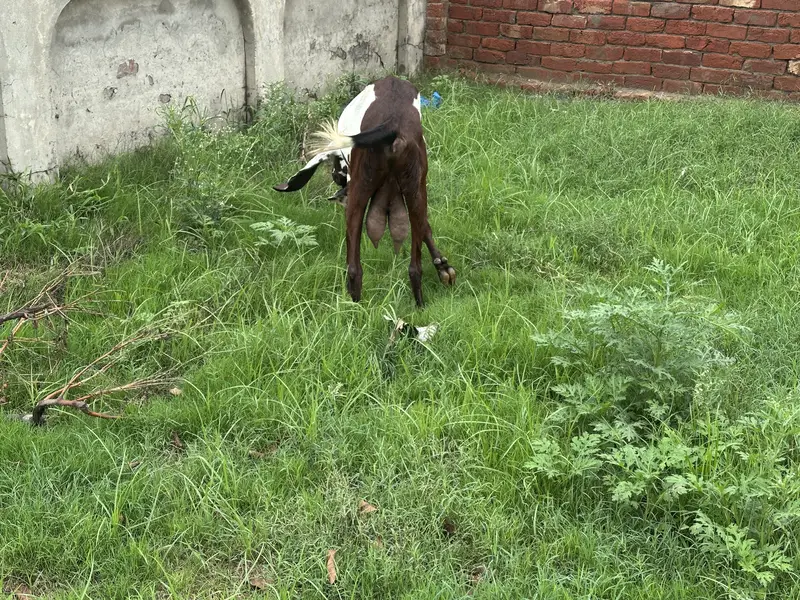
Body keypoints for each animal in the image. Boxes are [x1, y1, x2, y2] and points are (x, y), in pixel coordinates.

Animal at [273, 76, 456, 307]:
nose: (336, 178)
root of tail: (392, 125)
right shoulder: (418, 193)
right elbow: (426, 228)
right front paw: (442, 265)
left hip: (360, 196)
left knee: (354, 269)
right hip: (414, 192)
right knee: (414, 269)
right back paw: (419, 304)